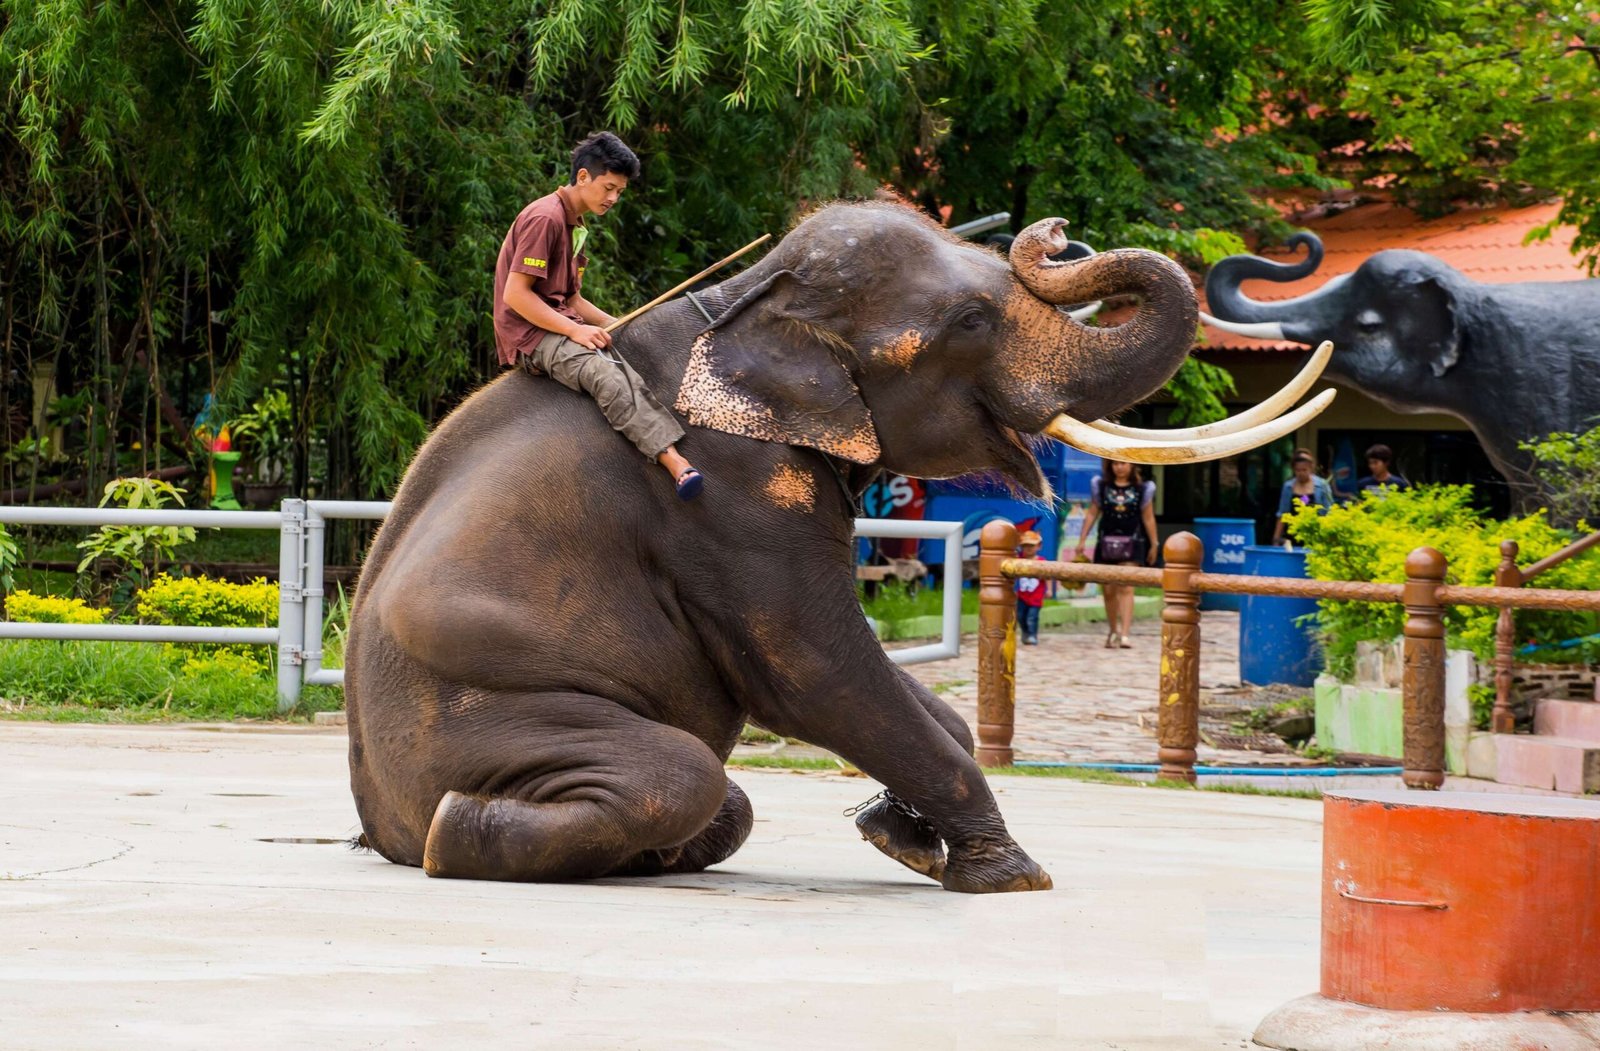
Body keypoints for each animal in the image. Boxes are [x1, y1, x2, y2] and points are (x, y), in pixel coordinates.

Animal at [343, 201, 1316, 893]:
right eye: (971, 320)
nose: (1053, 232)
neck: (748, 295)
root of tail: (377, 821)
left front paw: (902, 836)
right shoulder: (726, 488)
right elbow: (809, 667)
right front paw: (1010, 875)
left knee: (725, 800)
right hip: (475, 714)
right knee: (682, 773)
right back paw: (458, 832)